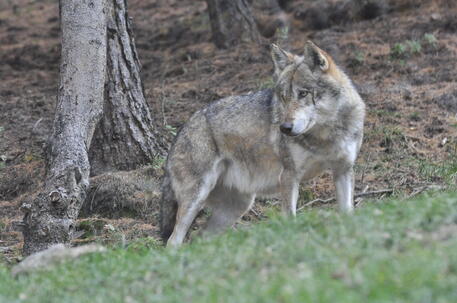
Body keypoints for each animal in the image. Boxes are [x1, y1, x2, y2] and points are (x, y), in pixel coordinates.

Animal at [159, 41, 364, 248]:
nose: (285, 128)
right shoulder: (289, 176)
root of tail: (180, 132)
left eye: (303, 93)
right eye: (283, 97)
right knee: (173, 241)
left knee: (199, 237)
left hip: (238, 206)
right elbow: (291, 218)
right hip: (197, 199)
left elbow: (348, 212)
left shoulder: (343, 170)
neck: (325, 135)